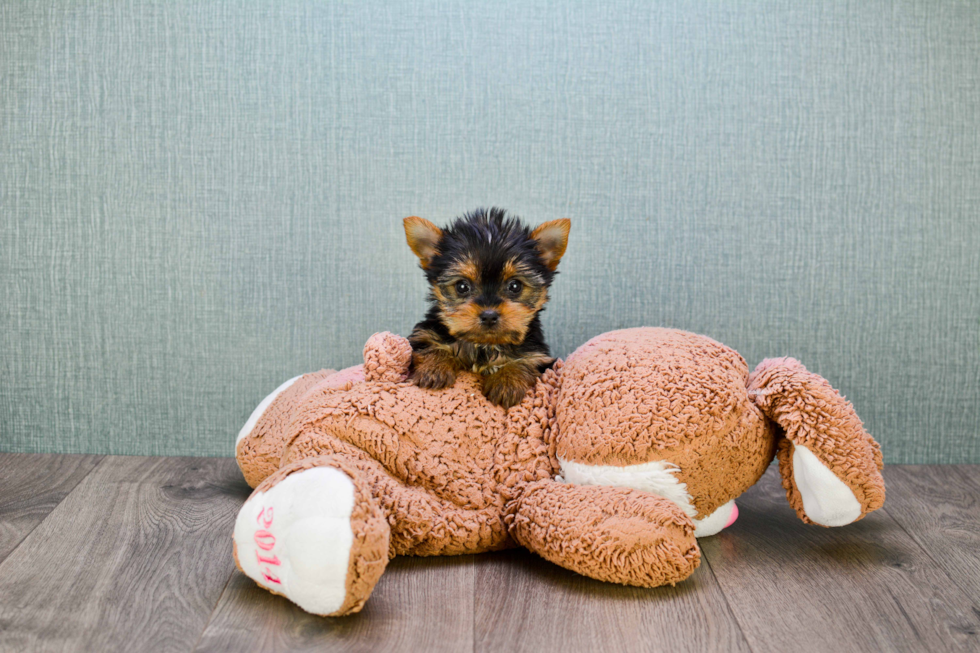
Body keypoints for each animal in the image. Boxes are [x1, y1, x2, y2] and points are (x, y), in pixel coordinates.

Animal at [402, 208, 572, 408]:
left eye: (515, 286)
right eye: (462, 286)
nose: (489, 315)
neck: (484, 345)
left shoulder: (538, 355)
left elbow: (526, 361)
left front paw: (507, 382)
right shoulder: (424, 334)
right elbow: (430, 345)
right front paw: (434, 368)